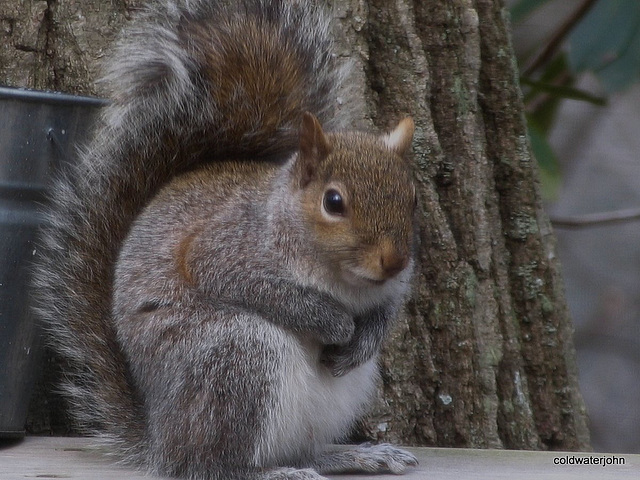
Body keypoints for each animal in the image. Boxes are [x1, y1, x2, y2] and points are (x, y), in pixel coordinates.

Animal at [37, 0, 422, 480]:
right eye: (334, 202)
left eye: (412, 197)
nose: (393, 261)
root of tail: (161, 441)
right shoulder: (225, 250)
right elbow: (256, 289)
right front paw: (334, 322)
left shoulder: (394, 286)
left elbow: (387, 310)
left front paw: (365, 338)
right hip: (238, 357)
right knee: (212, 464)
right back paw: (271, 471)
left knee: (299, 449)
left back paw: (352, 455)